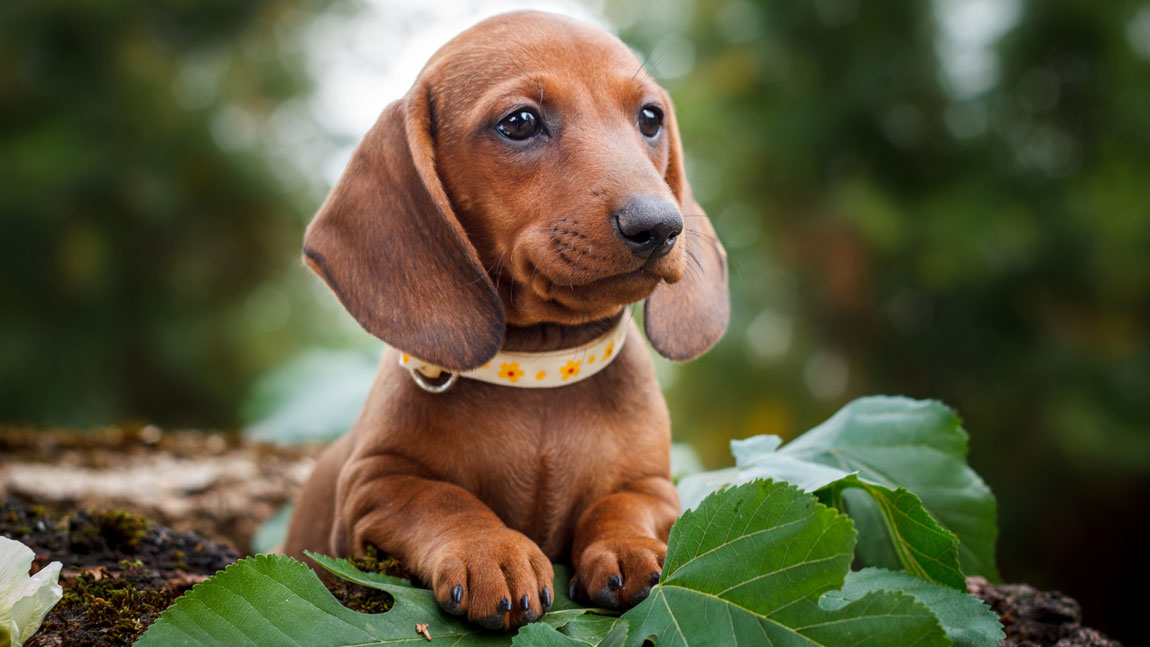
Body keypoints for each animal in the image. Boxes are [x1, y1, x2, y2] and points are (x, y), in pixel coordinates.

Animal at [282, 10, 726, 634]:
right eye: (519, 122)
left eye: (650, 117)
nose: (661, 225)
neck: (539, 369)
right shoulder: (372, 486)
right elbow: (441, 498)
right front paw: (492, 551)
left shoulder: (654, 484)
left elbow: (622, 503)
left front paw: (628, 545)